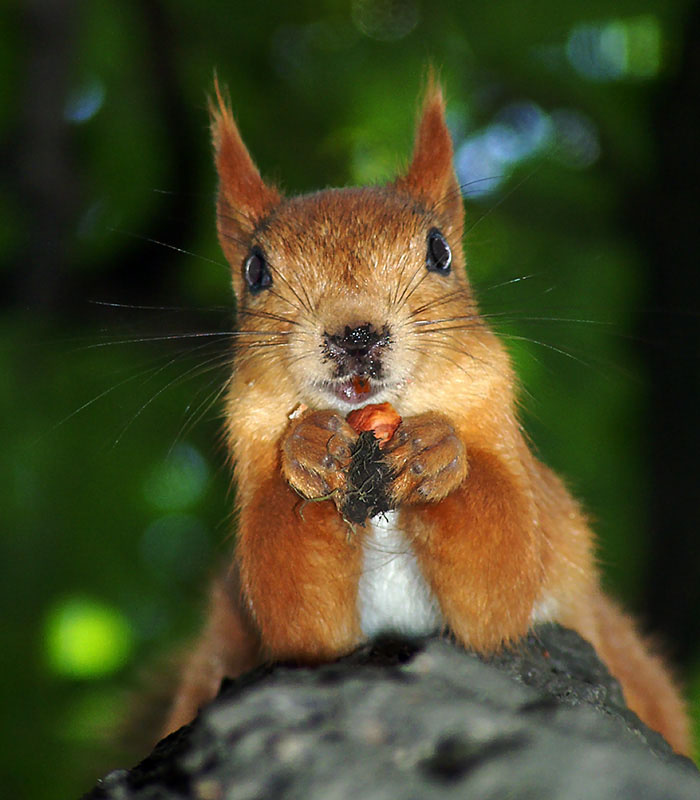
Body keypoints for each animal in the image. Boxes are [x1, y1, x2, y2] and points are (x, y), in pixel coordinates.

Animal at [162, 77, 691, 756]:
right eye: (255, 270)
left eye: (440, 252)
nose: (355, 335)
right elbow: (297, 613)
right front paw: (308, 447)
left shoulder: (530, 493)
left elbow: (502, 576)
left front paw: (436, 451)